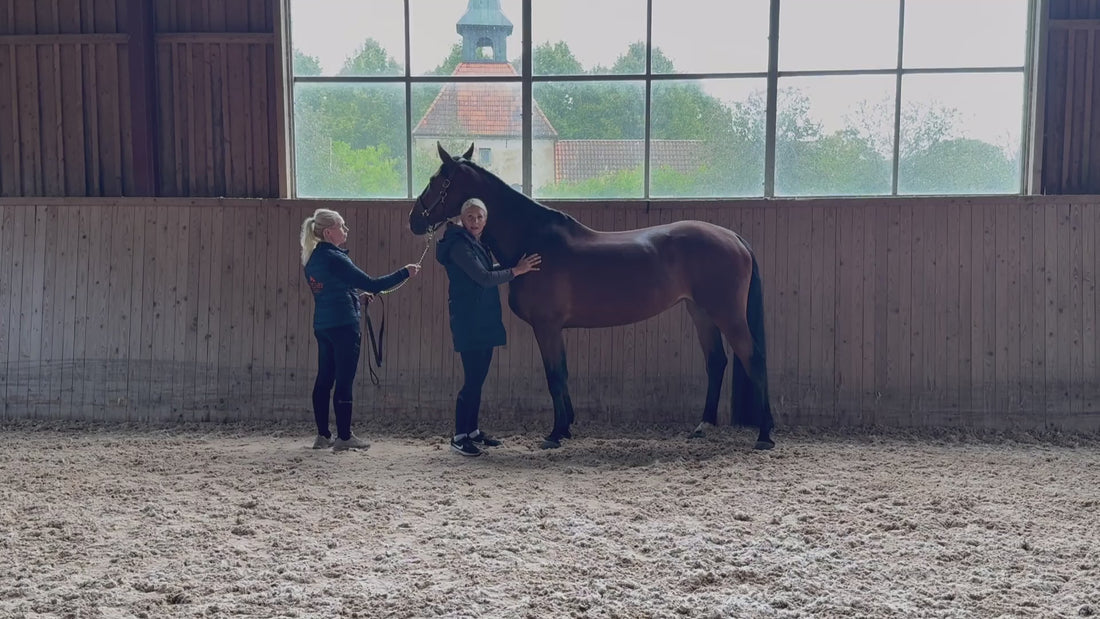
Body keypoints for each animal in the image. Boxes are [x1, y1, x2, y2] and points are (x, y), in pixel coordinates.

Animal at [409, 143, 775, 450]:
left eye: (435, 180)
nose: (414, 220)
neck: (534, 240)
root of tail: (733, 237)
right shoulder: (554, 329)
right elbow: (562, 372)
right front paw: (567, 425)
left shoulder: (546, 327)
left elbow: (554, 375)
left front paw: (556, 433)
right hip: (701, 312)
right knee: (717, 361)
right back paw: (703, 427)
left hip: (727, 314)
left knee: (753, 358)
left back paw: (765, 435)